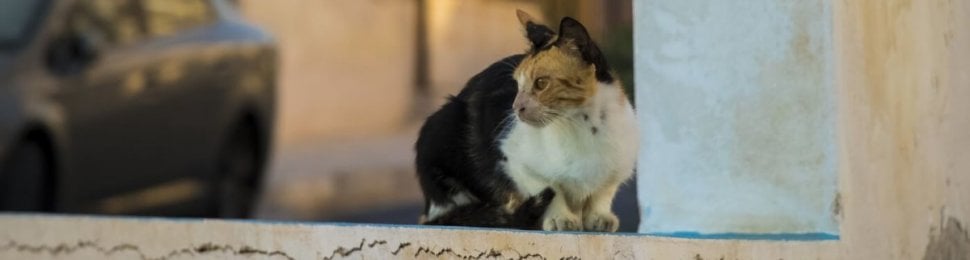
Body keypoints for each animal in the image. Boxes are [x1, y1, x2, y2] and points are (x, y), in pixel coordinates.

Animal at [414, 9, 636, 232]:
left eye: (541, 83)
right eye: (517, 84)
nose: (515, 107)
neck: (583, 125)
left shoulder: (618, 168)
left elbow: (603, 192)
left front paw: (599, 217)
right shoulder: (512, 159)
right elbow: (551, 187)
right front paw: (560, 218)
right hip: (439, 129)